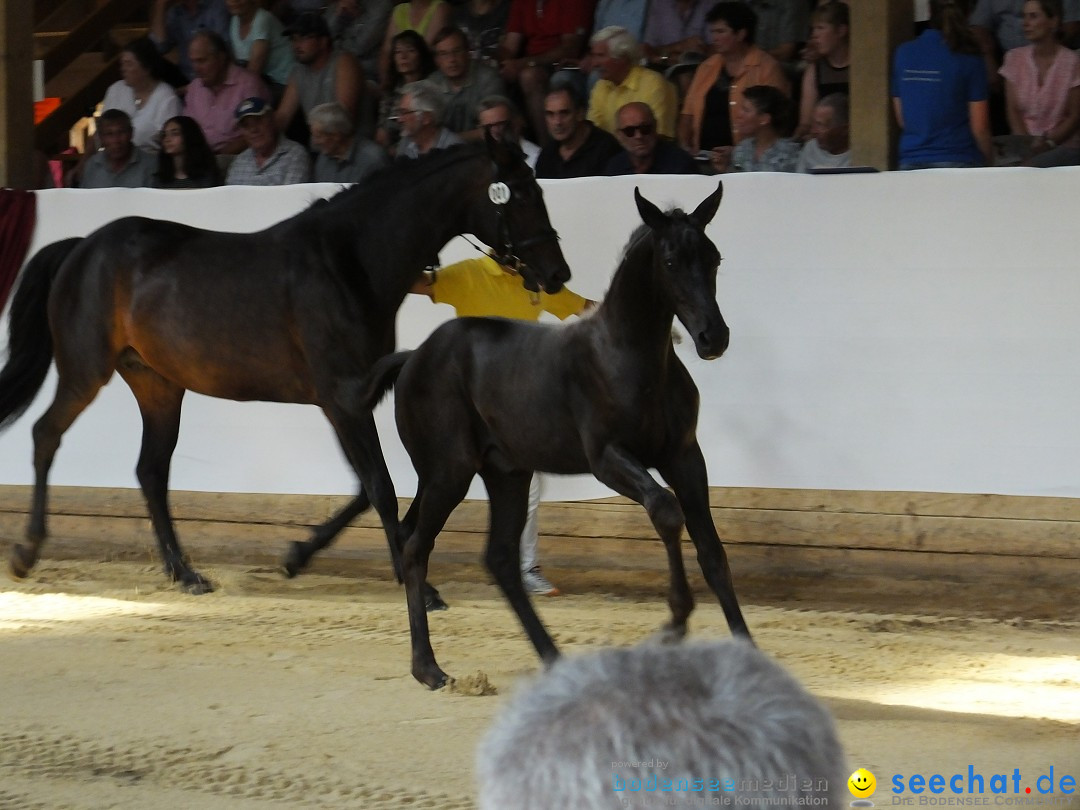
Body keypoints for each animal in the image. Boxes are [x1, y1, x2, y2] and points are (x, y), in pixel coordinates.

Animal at [0, 139, 574, 600]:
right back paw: (27, 552)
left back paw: (186, 574)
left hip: (157, 385)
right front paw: (422, 588)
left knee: (151, 471)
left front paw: (297, 556)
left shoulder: (352, 398)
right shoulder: (342, 398)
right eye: (521, 194)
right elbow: (380, 486)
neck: (349, 264)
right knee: (47, 434)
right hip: (85, 371)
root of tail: (83, 247)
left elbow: (365, 489)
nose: (556, 274)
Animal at [360, 185, 751, 691]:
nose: (712, 337)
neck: (626, 356)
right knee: (414, 547)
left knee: (499, 558)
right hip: (449, 473)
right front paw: (674, 622)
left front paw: (749, 651)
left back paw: (552, 658)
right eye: (669, 261)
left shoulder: (684, 456)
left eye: (713, 257)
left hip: (506, 473)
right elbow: (665, 511)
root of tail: (412, 358)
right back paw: (428, 668)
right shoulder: (607, 458)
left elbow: (713, 552)